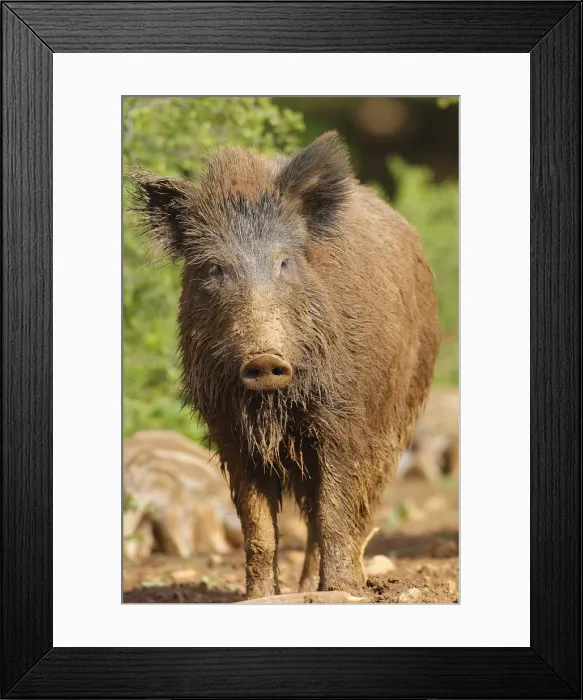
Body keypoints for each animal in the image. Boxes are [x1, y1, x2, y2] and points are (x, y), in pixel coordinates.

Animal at [130, 131, 440, 598]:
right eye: (215, 268)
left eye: (284, 262)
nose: (265, 359)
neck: (274, 407)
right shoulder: (229, 430)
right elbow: (258, 526)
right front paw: (258, 597)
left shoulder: (345, 420)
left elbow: (335, 509)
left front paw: (341, 593)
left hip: (398, 415)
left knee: (355, 507)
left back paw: (341, 586)